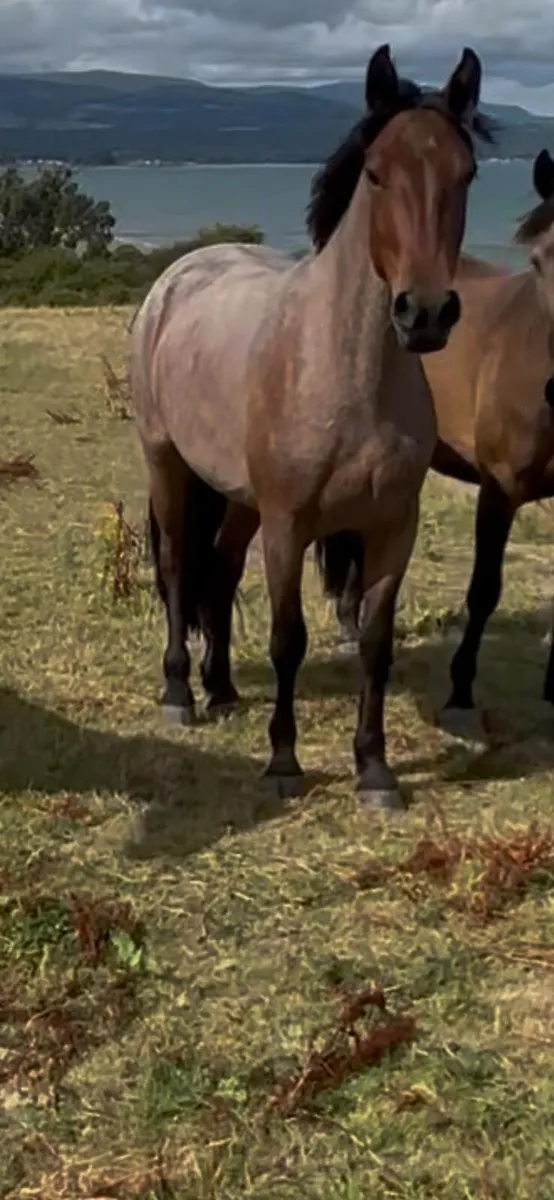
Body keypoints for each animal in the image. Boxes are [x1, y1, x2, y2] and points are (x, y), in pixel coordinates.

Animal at [129, 43, 490, 811]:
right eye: (377, 172)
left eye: (466, 173)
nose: (425, 313)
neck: (346, 370)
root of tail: (180, 274)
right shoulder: (290, 524)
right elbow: (287, 639)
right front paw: (284, 763)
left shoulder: (392, 527)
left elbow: (376, 645)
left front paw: (375, 770)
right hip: (167, 463)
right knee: (177, 566)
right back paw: (179, 692)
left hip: (238, 500)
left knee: (220, 570)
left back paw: (223, 689)